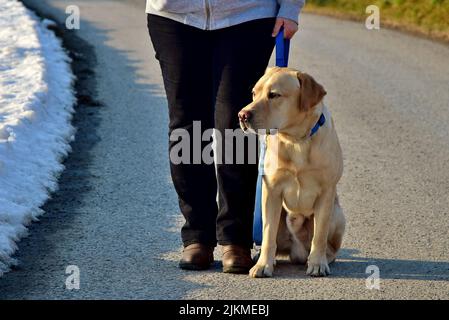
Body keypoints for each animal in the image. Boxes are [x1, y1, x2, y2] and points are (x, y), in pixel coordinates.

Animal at [238, 67, 346, 278]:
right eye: (254, 93)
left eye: (274, 95)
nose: (242, 115)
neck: (295, 140)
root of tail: (297, 251)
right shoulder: (271, 192)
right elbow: (268, 235)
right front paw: (263, 265)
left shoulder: (326, 193)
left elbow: (320, 235)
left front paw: (318, 264)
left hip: (338, 213)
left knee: (329, 246)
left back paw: (322, 258)